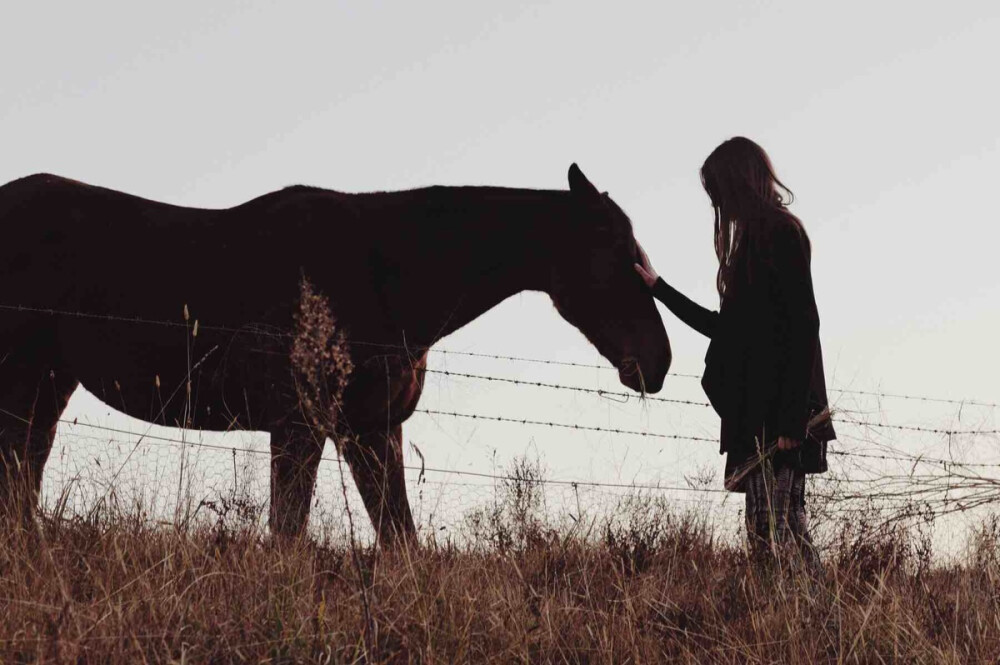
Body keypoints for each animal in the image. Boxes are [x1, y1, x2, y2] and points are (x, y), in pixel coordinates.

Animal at [1, 163, 672, 544]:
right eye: (615, 249)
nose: (657, 361)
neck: (387, 275)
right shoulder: (301, 424)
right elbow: (288, 534)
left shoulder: (372, 429)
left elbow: (400, 540)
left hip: (49, 385)